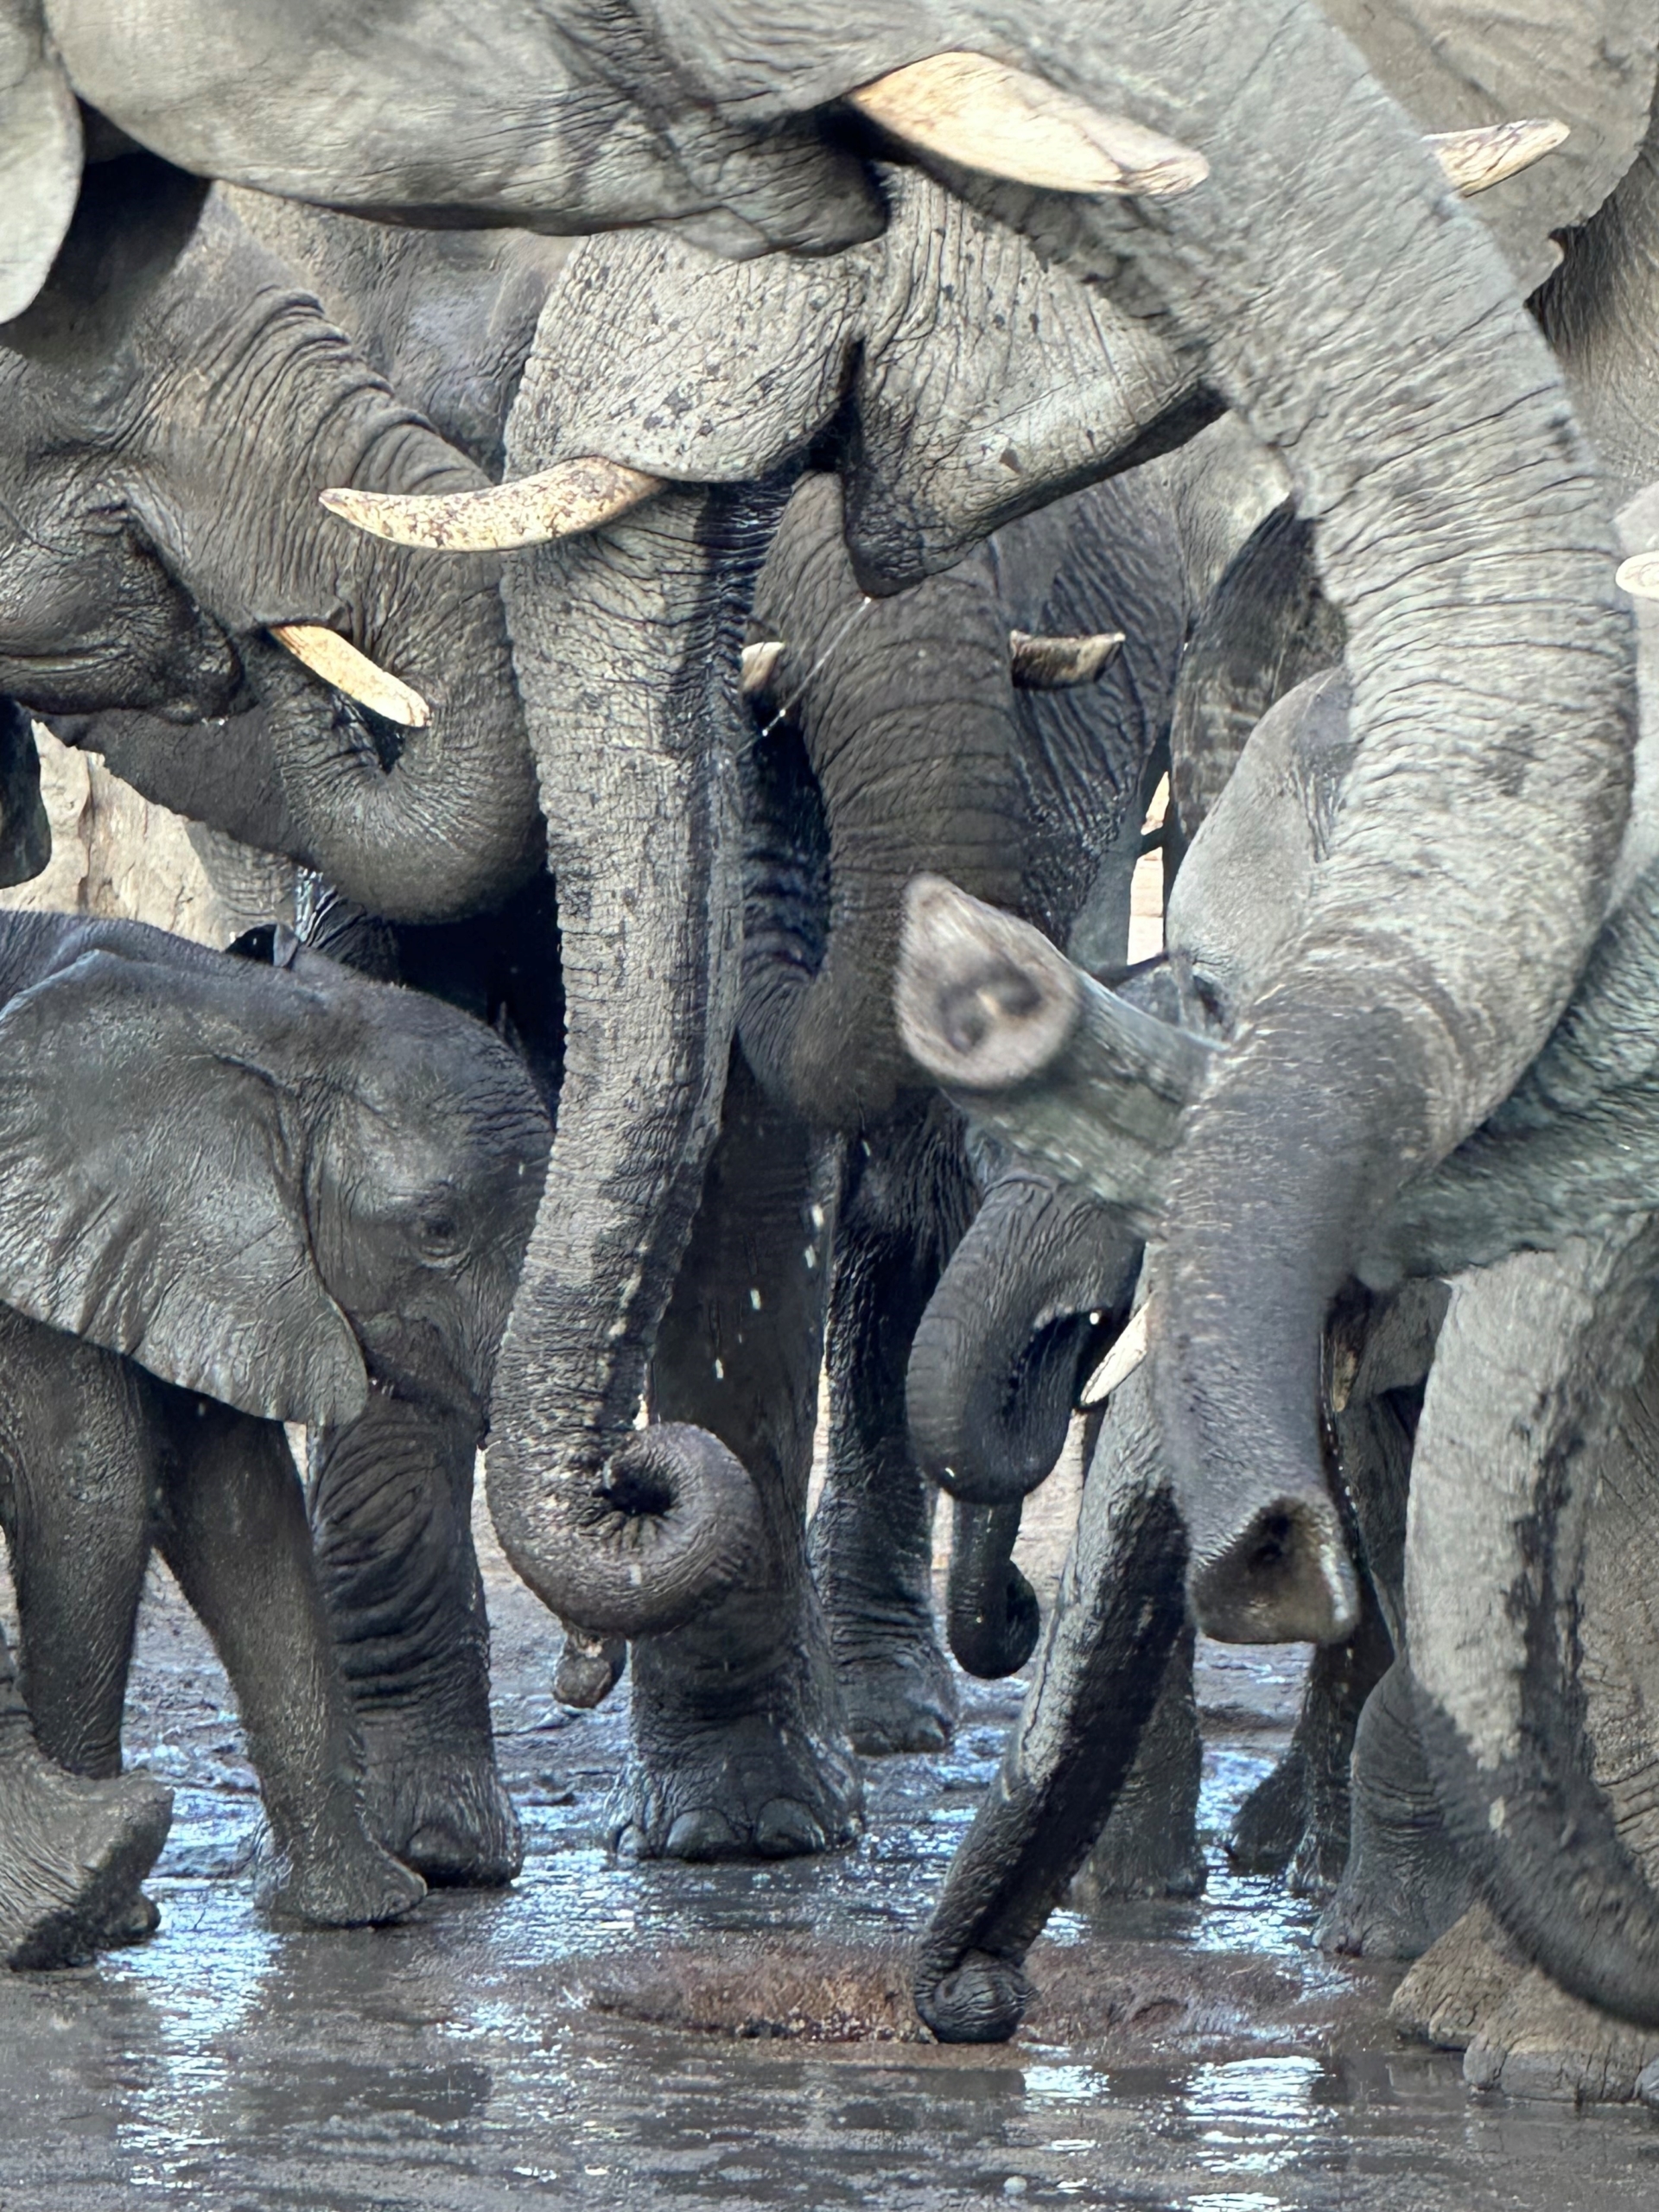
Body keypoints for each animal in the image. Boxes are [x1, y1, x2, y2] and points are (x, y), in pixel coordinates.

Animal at [0, 905, 552, 1964]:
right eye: (438, 1230)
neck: (263, 1020)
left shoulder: (191, 1249)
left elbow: (241, 1513)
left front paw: (366, 1908)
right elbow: (93, 1487)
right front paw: (109, 1919)